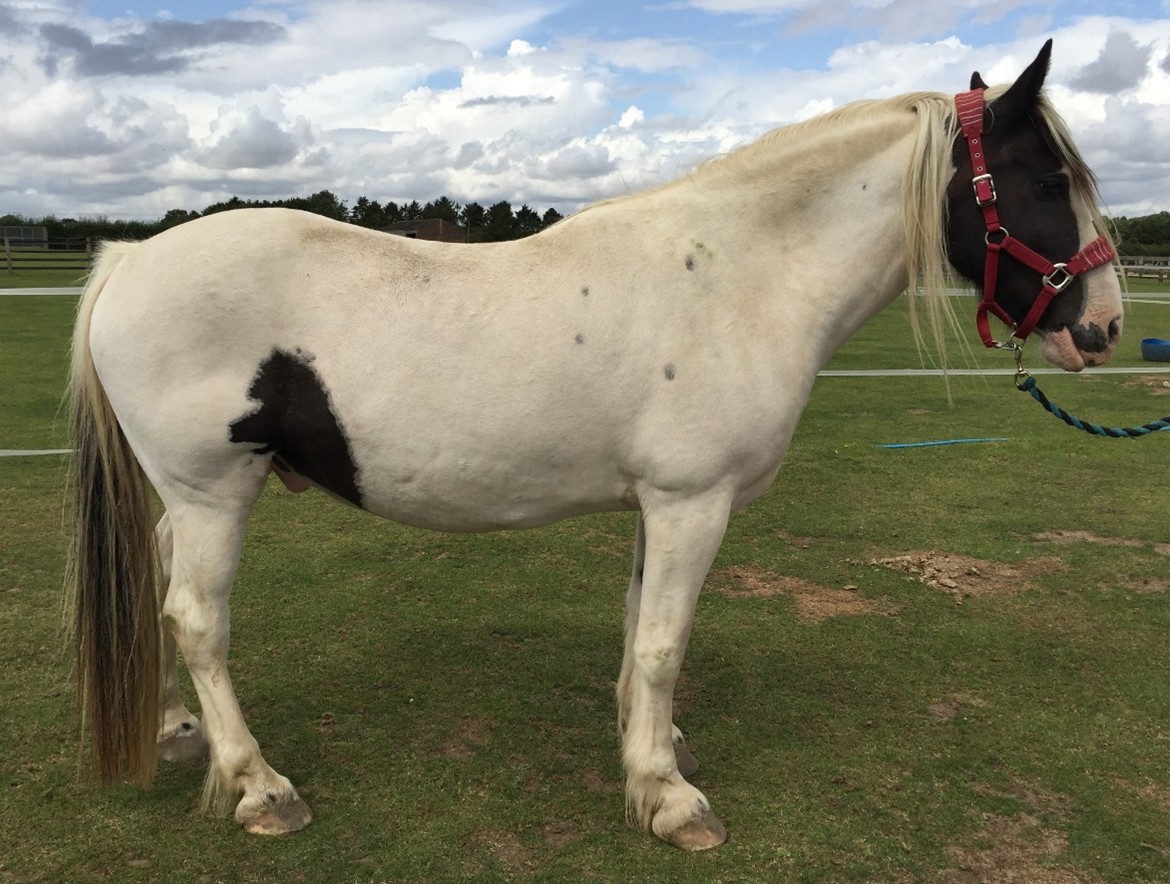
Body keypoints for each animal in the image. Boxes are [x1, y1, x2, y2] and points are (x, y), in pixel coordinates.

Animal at [66, 40, 1123, 850]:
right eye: (1046, 179)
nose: (1104, 328)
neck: (738, 274)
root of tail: (131, 261)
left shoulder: (662, 504)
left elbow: (636, 627)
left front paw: (651, 748)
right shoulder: (693, 502)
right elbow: (662, 642)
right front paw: (668, 799)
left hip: (192, 497)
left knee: (160, 593)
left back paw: (173, 729)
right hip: (214, 492)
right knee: (198, 618)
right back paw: (257, 785)